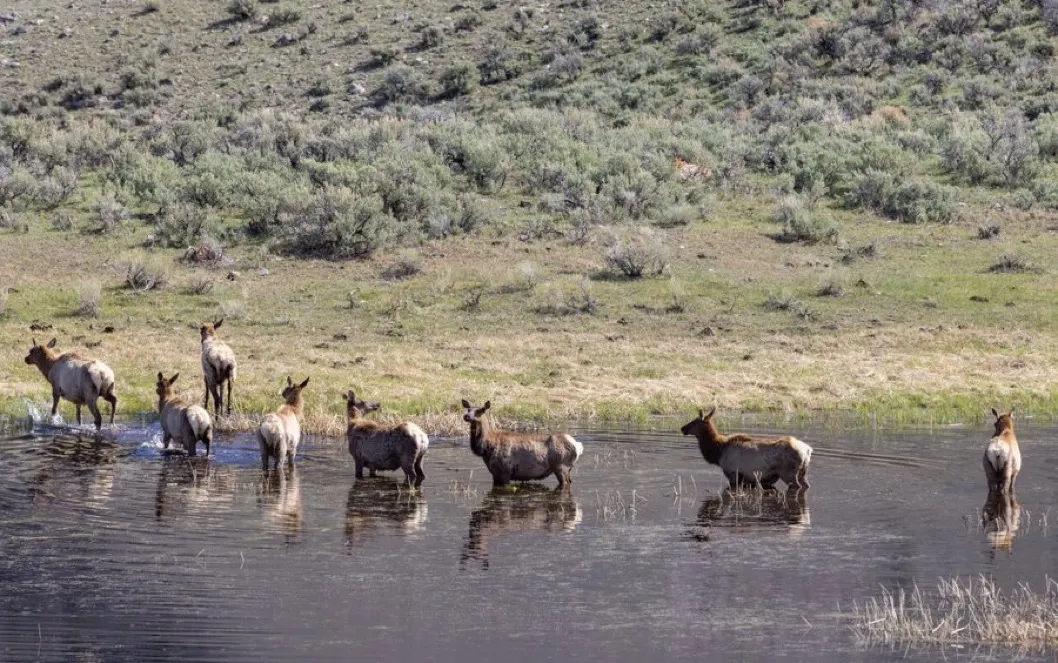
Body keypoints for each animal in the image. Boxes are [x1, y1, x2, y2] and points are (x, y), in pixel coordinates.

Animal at [680, 408, 812, 491]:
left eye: (694, 422)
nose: (682, 428)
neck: (718, 452)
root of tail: (808, 450)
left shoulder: (732, 473)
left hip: (788, 473)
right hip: (803, 472)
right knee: (806, 485)